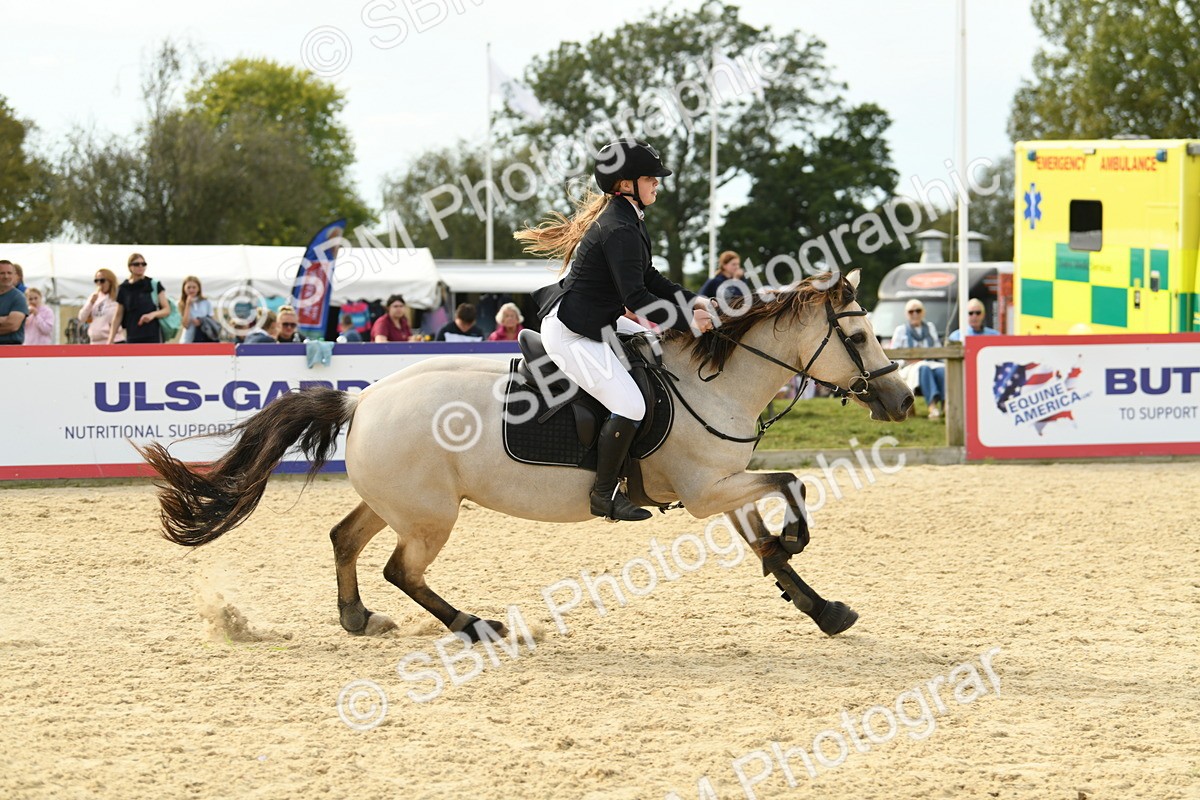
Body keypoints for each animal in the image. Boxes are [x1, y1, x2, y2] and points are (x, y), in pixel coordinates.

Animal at [139, 269, 912, 641]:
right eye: (862, 337)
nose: (903, 400)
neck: (713, 383)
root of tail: (362, 402)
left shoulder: (723, 483)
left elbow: (766, 540)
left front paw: (821, 608)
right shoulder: (705, 491)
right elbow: (791, 485)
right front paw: (796, 543)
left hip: (402, 503)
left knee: (346, 540)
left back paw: (359, 618)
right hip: (432, 516)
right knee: (401, 569)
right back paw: (476, 626)